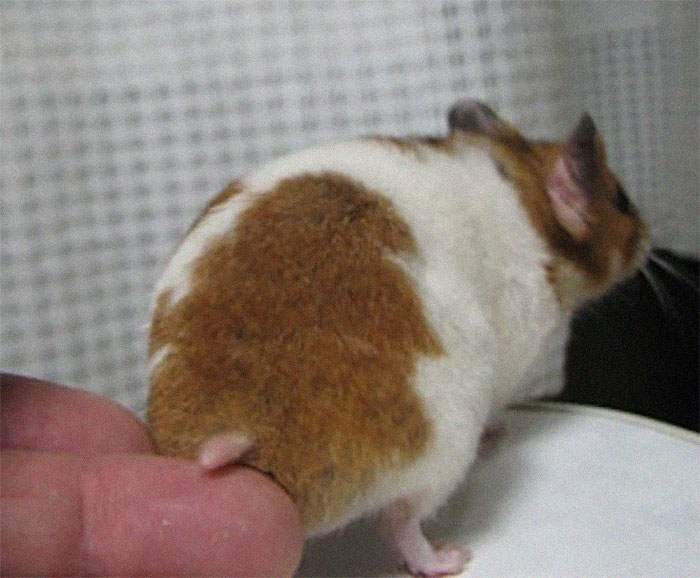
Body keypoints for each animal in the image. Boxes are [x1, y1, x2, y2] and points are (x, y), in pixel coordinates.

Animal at [147, 100, 648, 576]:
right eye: (621, 200)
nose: (648, 238)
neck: (529, 202)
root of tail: (242, 434)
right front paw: (501, 432)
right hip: (445, 445)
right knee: (402, 522)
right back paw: (449, 558)